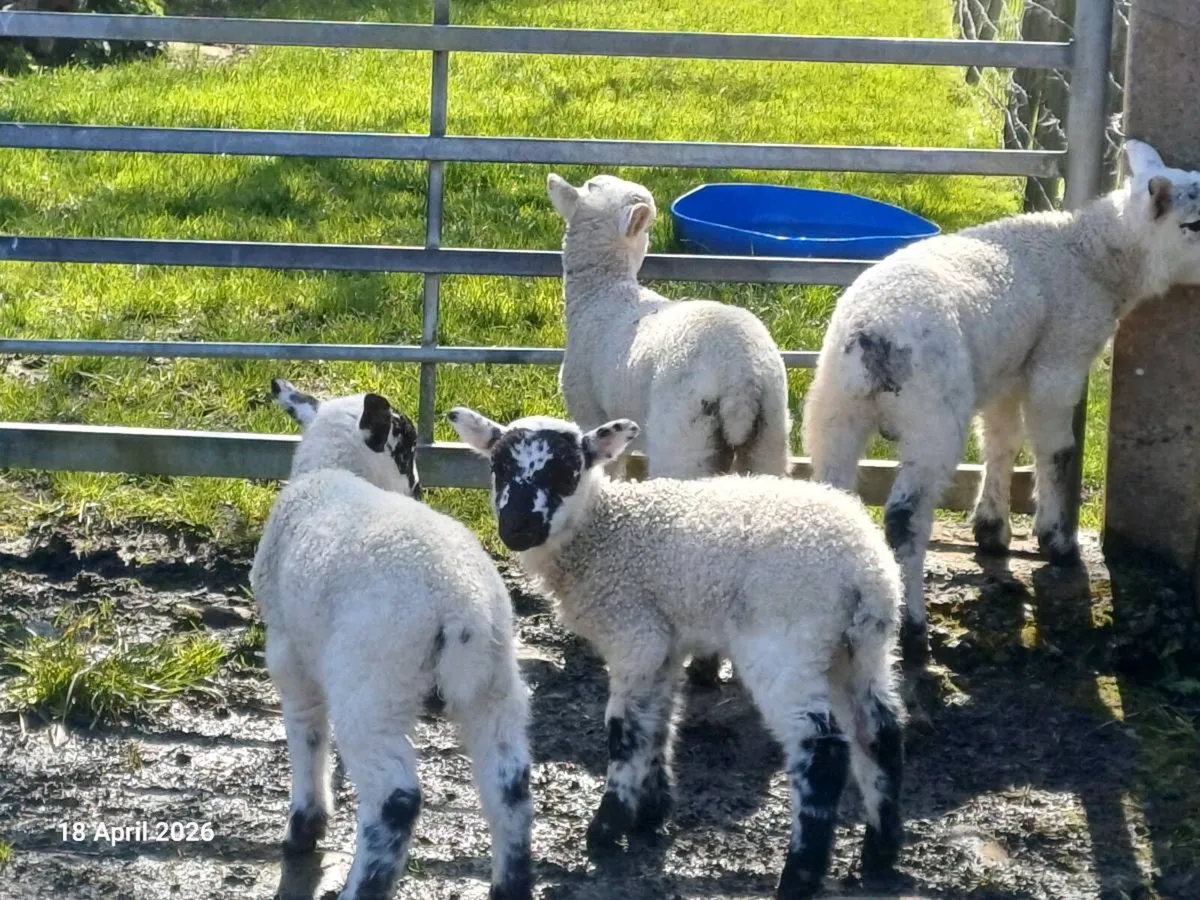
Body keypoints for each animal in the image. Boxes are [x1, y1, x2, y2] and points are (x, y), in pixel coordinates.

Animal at [250, 380, 533, 900]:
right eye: (407, 449)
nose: (420, 489)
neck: (332, 472)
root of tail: (459, 601)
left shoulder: (289, 650)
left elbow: (307, 732)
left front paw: (304, 827)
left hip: (374, 684)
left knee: (395, 799)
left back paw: (362, 886)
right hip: (495, 681)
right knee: (510, 783)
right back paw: (511, 884)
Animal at [448, 406, 905, 900]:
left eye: (566, 471)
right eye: (498, 467)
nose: (517, 529)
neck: (604, 531)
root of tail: (866, 573)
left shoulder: (635, 633)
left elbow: (623, 730)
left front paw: (606, 829)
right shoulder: (663, 643)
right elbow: (657, 723)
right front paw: (649, 813)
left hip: (787, 642)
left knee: (822, 750)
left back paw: (800, 875)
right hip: (859, 649)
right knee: (880, 733)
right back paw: (880, 855)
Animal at [548, 171, 793, 687]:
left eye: (589, 186)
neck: (604, 294)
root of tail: (740, 376)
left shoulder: (591, 411)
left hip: (684, 438)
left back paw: (700, 664)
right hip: (770, 434)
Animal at [802, 139, 1200, 666]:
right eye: (1193, 224)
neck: (1091, 258)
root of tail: (871, 337)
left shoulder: (1008, 371)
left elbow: (1001, 442)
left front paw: (992, 531)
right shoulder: (1058, 360)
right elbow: (1056, 451)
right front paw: (1057, 540)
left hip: (833, 410)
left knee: (834, 496)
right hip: (931, 418)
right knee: (905, 521)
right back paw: (914, 633)